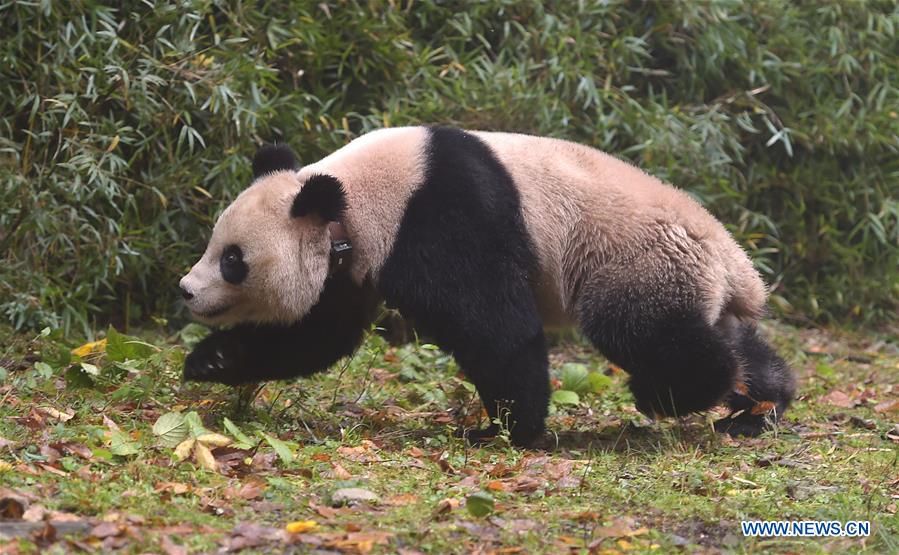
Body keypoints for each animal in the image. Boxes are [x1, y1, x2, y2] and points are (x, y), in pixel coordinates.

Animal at [179, 126, 796, 446]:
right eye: (215, 244)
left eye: (233, 260)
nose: (186, 289)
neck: (350, 197)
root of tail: (736, 266)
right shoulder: (351, 263)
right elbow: (319, 335)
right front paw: (211, 361)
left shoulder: (439, 216)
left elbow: (494, 327)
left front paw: (507, 430)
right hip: (687, 280)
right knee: (725, 336)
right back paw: (761, 405)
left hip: (634, 261)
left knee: (644, 332)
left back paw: (670, 396)